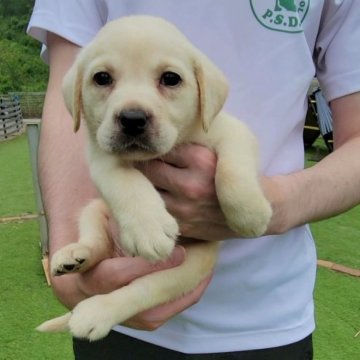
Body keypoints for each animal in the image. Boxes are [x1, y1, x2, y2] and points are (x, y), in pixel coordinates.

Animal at [38, 16, 272, 340]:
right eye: (102, 78)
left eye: (170, 79)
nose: (132, 119)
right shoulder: (100, 155)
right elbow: (126, 183)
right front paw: (148, 227)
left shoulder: (231, 129)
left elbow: (233, 169)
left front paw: (250, 213)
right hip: (93, 210)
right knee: (97, 244)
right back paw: (78, 263)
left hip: (188, 266)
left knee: (142, 288)